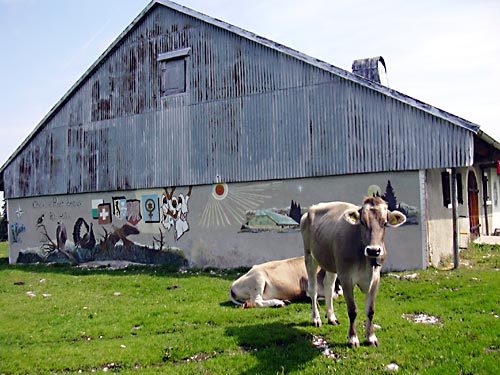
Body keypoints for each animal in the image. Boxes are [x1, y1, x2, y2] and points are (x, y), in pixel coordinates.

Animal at [300, 198, 406, 348]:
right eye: (362, 222)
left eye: (385, 223)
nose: (373, 250)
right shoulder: (346, 278)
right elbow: (352, 310)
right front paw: (353, 338)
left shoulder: (376, 279)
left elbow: (370, 310)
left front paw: (371, 337)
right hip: (309, 256)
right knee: (313, 289)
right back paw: (316, 319)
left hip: (332, 262)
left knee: (328, 286)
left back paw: (331, 317)